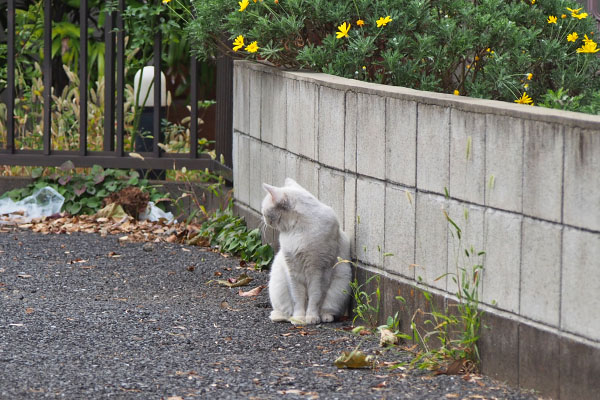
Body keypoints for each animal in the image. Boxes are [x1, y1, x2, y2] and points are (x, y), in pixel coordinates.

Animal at [262, 178, 352, 324]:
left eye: (264, 211)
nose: (263, 218)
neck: (296, 229)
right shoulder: (293, 271)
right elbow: (298, 298)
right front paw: (299, 318)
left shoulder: (318, 271)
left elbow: (315, 298)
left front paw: (311, 317)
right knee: (285, 312)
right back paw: (283, 317)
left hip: (341, 282)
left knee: (327, 308)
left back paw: (325, 317)